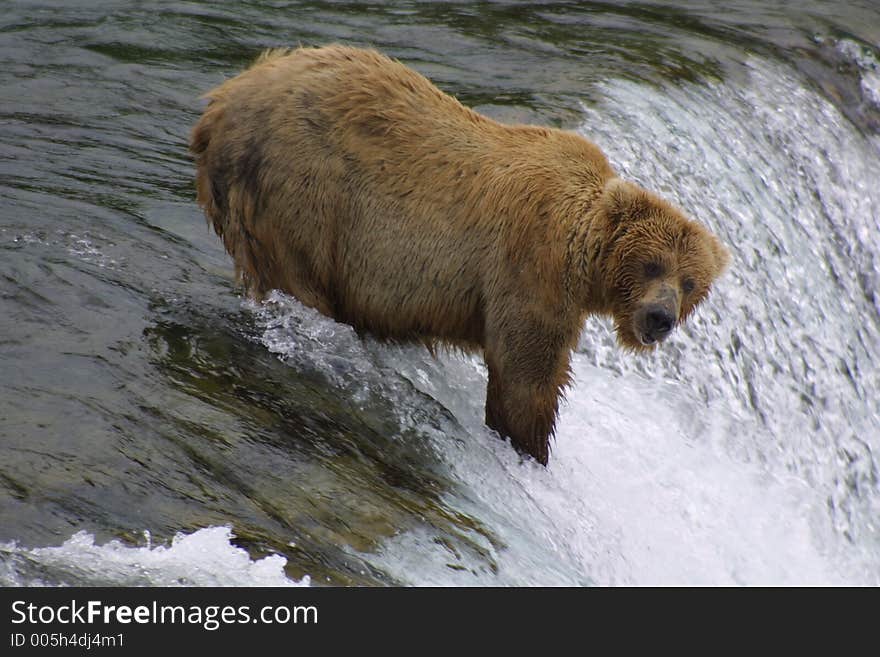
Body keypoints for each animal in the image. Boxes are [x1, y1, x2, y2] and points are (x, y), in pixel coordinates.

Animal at [191, 43, 728, 464]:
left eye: (691, 283)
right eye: (652, 263)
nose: (661, 317)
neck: (585, 258)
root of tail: (222, 100)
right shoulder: (531, 263)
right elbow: (526, 372)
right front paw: (529, 446)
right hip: (303, 189)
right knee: (298, 276)